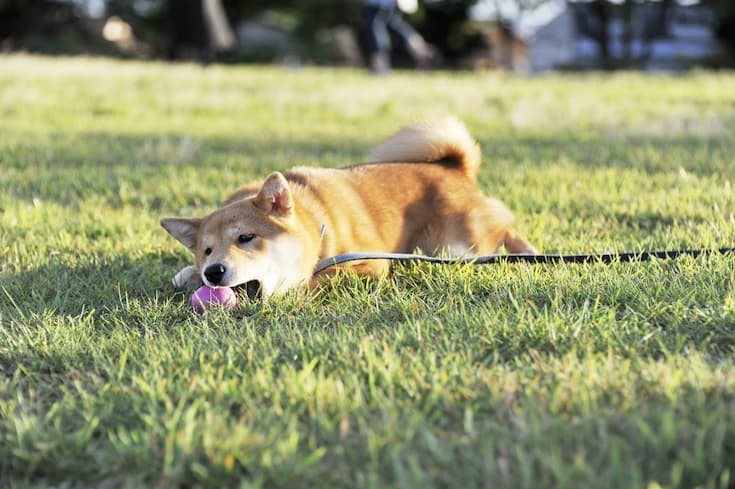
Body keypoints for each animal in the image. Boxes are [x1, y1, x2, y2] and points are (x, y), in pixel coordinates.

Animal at [161, 118, 536, 298]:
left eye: (246, 238)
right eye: (206, 251)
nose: (213, 272)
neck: (316, 225)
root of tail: (455, 168)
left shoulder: (369, 264)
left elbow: (318, 279)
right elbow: (181, 276)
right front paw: (188, 275)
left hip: (457, 244)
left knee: (503, 226)